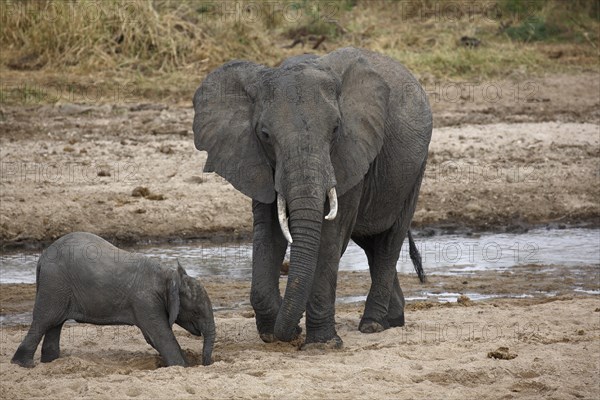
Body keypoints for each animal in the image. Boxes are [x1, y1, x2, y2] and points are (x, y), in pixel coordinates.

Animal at [11, 233, 216, 368]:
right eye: (196, 312)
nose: (206, 364)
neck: (168, 275)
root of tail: (42, 258)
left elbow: (152, 337)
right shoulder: (145, 300)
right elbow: (160, 335)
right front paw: (184, 367)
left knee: (55, 324)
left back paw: (52, 362)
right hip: (55, 284)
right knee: (45, 320)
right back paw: (24, 364)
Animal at [192, 46, 432, 346]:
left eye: (335, 129)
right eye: (265, 135)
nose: (293, 331)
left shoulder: (351, 150)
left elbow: (330, 235)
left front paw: (322, 343)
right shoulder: (256, 159)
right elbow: (268, 230)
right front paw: (274, 333)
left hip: (415, 170)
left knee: (389, 242)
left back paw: (373, 324)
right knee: (371, 245)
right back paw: (391, 321)